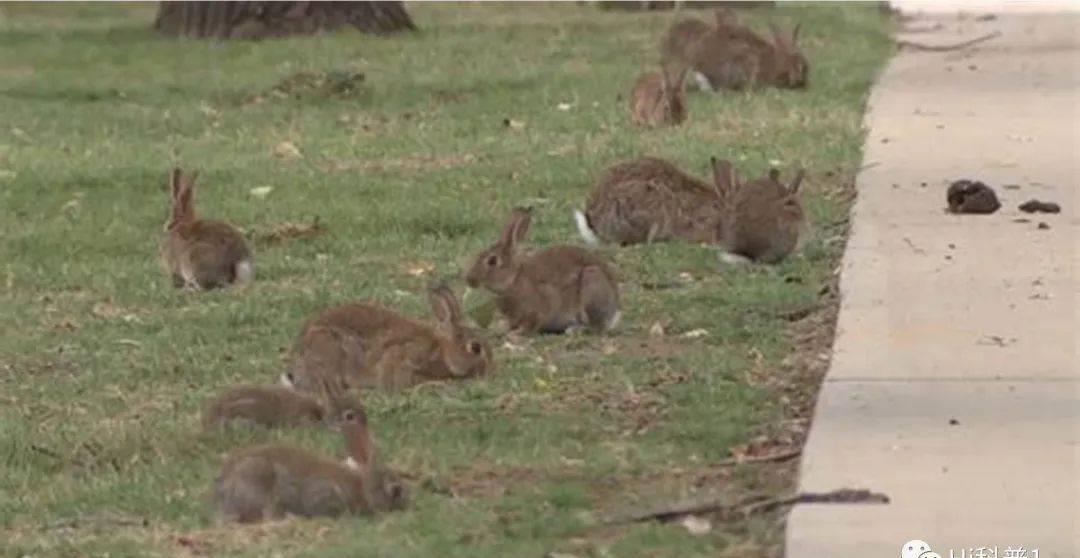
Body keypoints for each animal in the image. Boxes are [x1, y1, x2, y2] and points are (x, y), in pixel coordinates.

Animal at [466, 205, 626, 332]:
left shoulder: (541, 305)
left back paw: (574, 330)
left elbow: (533, 322)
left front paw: (516, 334)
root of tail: (614, 308)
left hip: (591, 283)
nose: (469, 279)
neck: (513, 280)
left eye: (492, 261)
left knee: (596, 326)